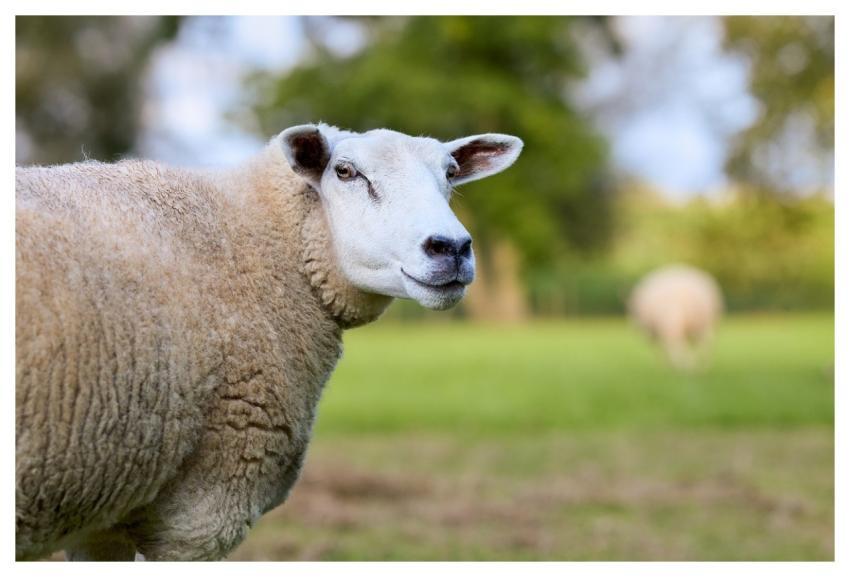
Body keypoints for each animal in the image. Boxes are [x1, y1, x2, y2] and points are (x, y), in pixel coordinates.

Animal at [15, 124, 523, 561]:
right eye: (345, 172)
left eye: (451, 173)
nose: (451, 248)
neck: (258, 238)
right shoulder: (204, 507)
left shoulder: (105, 513)